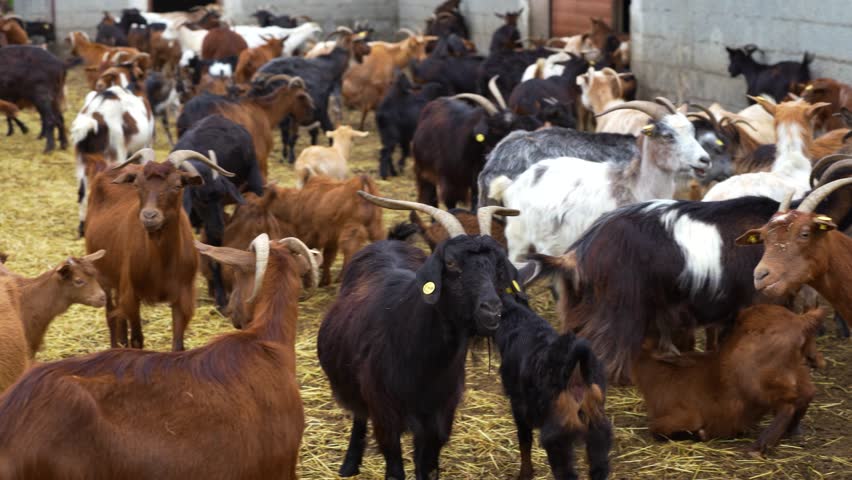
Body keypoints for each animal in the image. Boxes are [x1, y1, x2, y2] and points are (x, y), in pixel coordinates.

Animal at [84, 149, 233, 351]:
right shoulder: (131, 295)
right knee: (111, 315)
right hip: (103, 277)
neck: (162, 262)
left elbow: (178, 345)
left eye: (177, 185)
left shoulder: (183, 298)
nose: (149, 216)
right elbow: (137, 340)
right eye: (137, 184)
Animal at [318, 195, 518, 479]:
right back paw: (349, 464)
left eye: (498, 265)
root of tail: (389, 242)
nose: (492, 309)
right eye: (451, 263)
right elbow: (395, 468)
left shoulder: (440, 416)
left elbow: (425, 467)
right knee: (359, 416)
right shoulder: (386, 415)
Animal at [488, 99, 710, 261]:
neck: (635, 187)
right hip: (518, 236)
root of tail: (513, 183)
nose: (705, 160)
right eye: (667, 135)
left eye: (692, 131)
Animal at [496, 292, 612, 480]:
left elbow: (524, 443)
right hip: (598, 430)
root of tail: (576, 373)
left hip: (558, 439)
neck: (520, 321)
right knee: (599, 468)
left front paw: (525, 474)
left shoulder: (519, 408)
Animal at [633, 305, 822, 455]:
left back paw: (760, 446)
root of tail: (799, 321)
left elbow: (656, 429)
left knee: (788, 403)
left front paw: (700, 434)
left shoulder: (686, 415)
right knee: (808, 394)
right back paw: (791, 431)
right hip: (798, 369)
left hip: (753, 379)